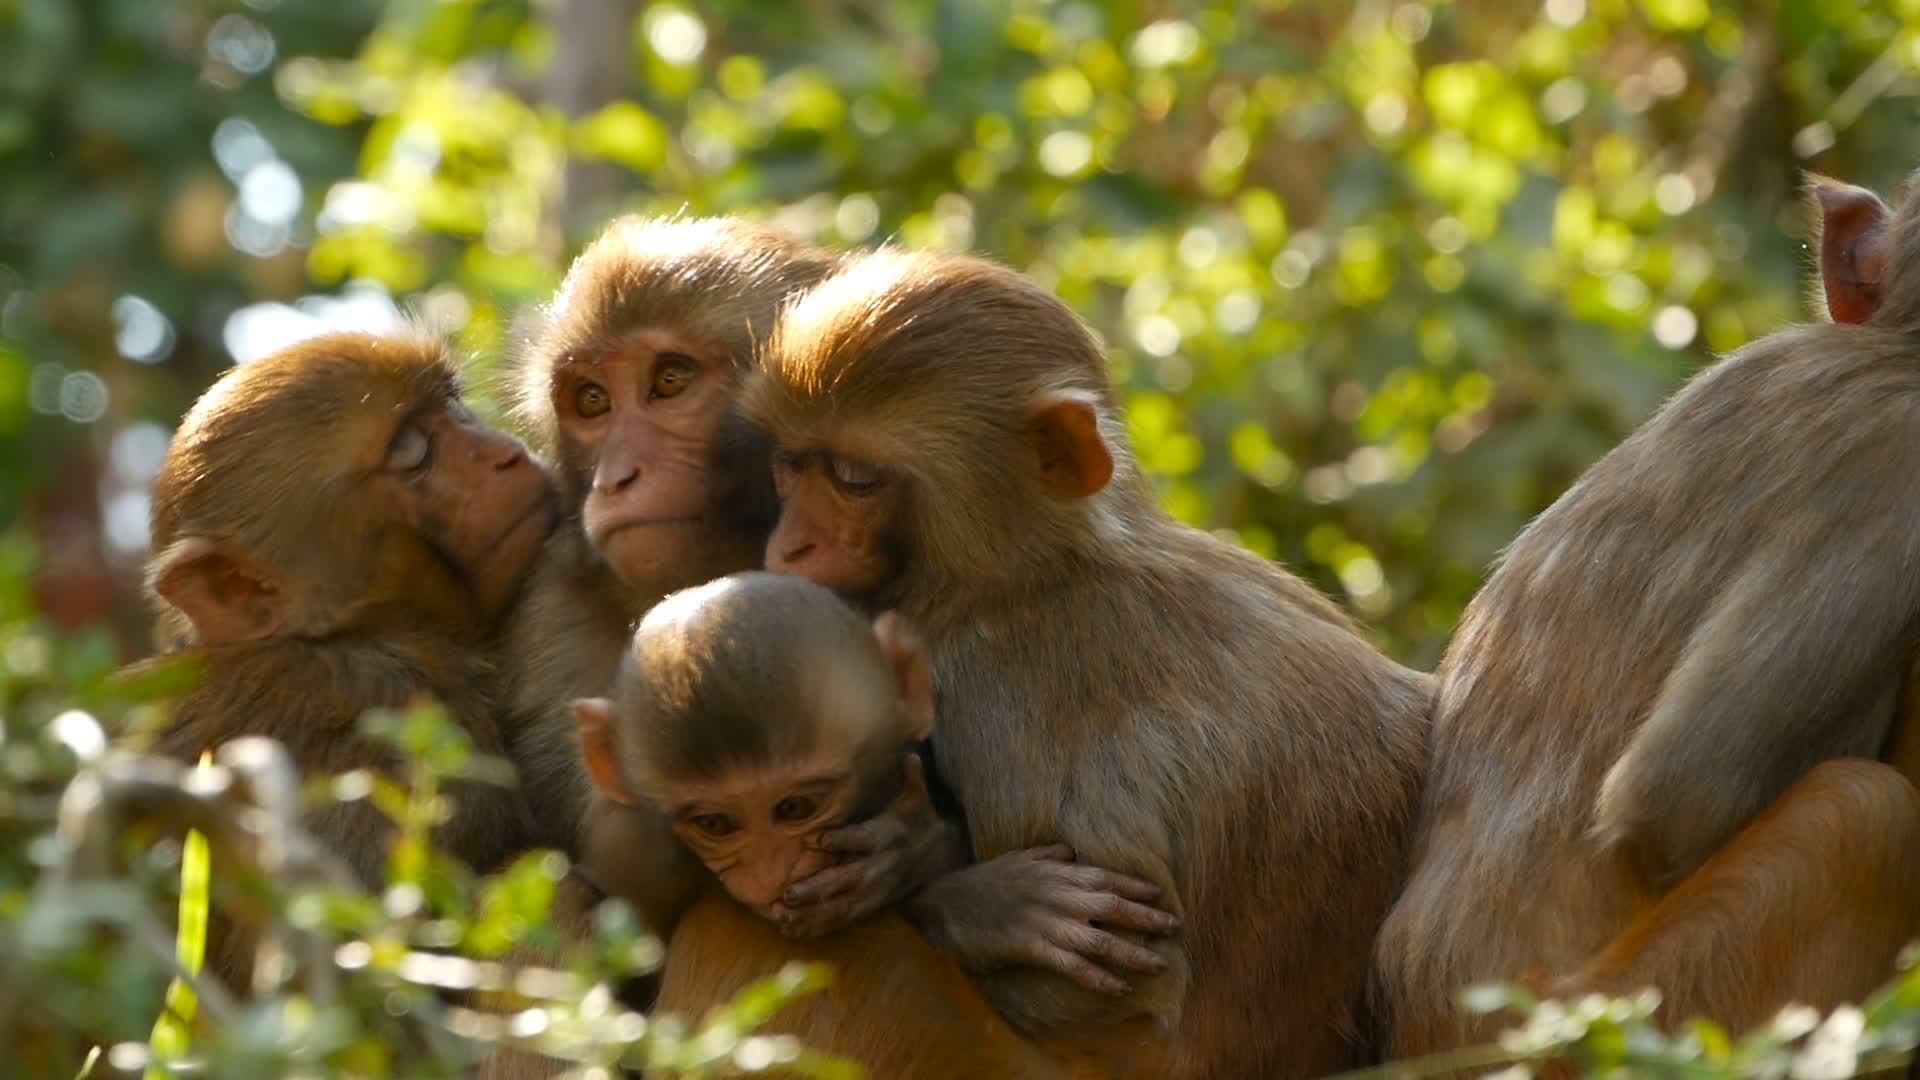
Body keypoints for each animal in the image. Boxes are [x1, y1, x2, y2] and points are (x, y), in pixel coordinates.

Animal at [741, 247, 1436, 1068]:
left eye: (853, 480)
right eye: (793, 464)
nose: (792, 545)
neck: (1038, 572)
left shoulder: (987, 691)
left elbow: (1099, 986)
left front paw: (936, 884)